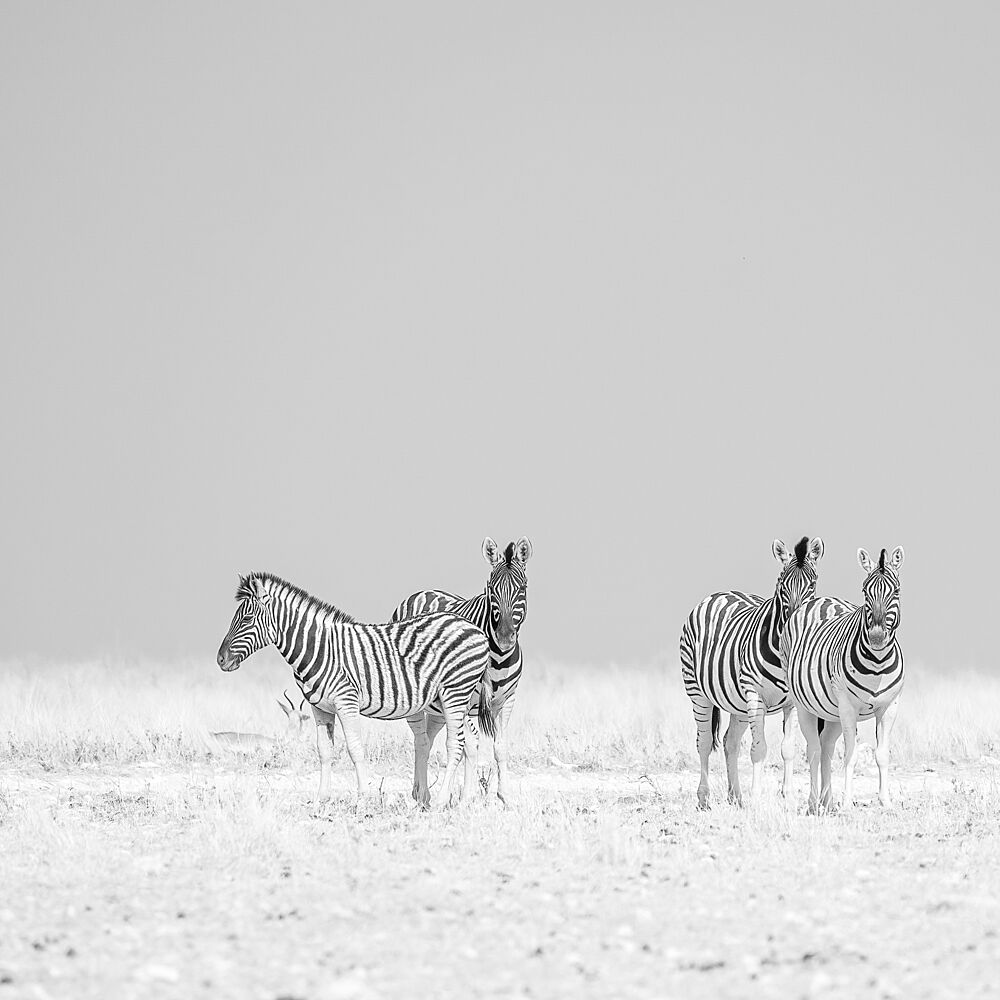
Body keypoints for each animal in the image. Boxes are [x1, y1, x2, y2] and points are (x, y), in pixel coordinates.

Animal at [216, 572, 493, 809]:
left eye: (247, 619)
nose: (220, 659)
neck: (320, 649)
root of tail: (475, 628)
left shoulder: (346, 702)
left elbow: (354, 749)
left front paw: (362, 799)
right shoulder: (320, 708)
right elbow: (324, 752)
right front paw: (321, 799)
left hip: (454, 692)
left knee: (455, 744)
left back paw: (441, 801)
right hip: (456, 699)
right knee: (469, 741)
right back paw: (464, 801)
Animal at [391, 536, 531, 807]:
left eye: (522, 588)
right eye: (491, 590)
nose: (504, 638)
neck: (498, 658)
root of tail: (422, 592)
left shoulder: (507, 700)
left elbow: (500, 746)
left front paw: (505, 796)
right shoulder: (467, 701)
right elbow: (470, 746)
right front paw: (467, 798)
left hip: (438, 705)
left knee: (428, 738)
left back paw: (420, 792)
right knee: (421, 739)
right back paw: (423, 795)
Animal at [680, 536, 824, 808]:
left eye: (812, 584)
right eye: (782, 584)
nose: (794, 623)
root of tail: (719, 593)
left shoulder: (792, 702)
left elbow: (788, 749)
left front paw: (788, 795)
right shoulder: (754, 695)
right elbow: (759, 750)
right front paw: (756, 798)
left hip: (737, 703)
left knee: (730, 742)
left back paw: (735, 796)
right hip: (698, 692)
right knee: (704, 743)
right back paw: (704, 799)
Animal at [783, 546, 905, 813]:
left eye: (897, 591)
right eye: (865, 591)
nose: (877, 637)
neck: (878, 662)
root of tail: (820, 599)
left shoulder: (889, 707)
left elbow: (882, 754)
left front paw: (886, 801)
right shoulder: (849, 708)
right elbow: (851, 755)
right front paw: (848, 803)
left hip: (831, 712)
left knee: (826, 747)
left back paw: (827, 802)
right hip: (804, 705)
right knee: (814, 749)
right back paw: (813, 803)